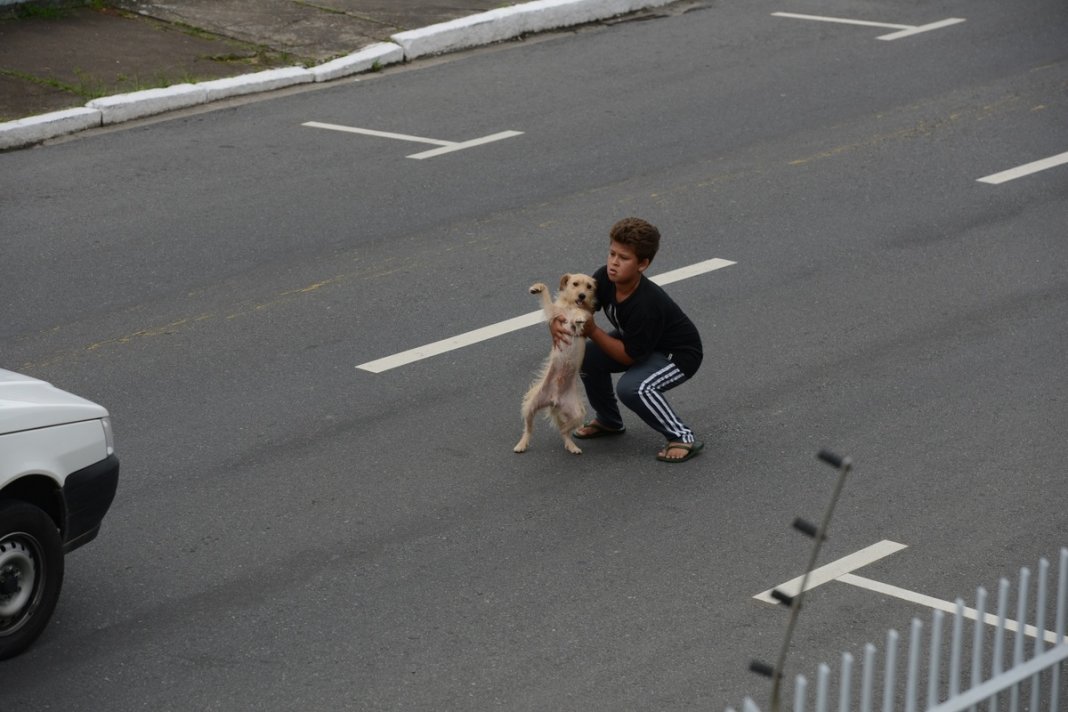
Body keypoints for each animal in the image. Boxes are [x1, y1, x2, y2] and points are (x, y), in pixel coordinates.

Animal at [512, 275, 598, 454]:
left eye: (589, 287)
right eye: (575, 284)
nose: (581, 296)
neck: (571, 306)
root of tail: (554, 400)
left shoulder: (585, 321)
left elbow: (581, 315)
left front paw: (578, 316)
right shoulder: (553, 313)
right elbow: (546, 300)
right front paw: (538, 287)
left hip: (577, 412)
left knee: (565, 430)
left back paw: (571, 445)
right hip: (530, 405)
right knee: (529, 429)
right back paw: (522, 444)